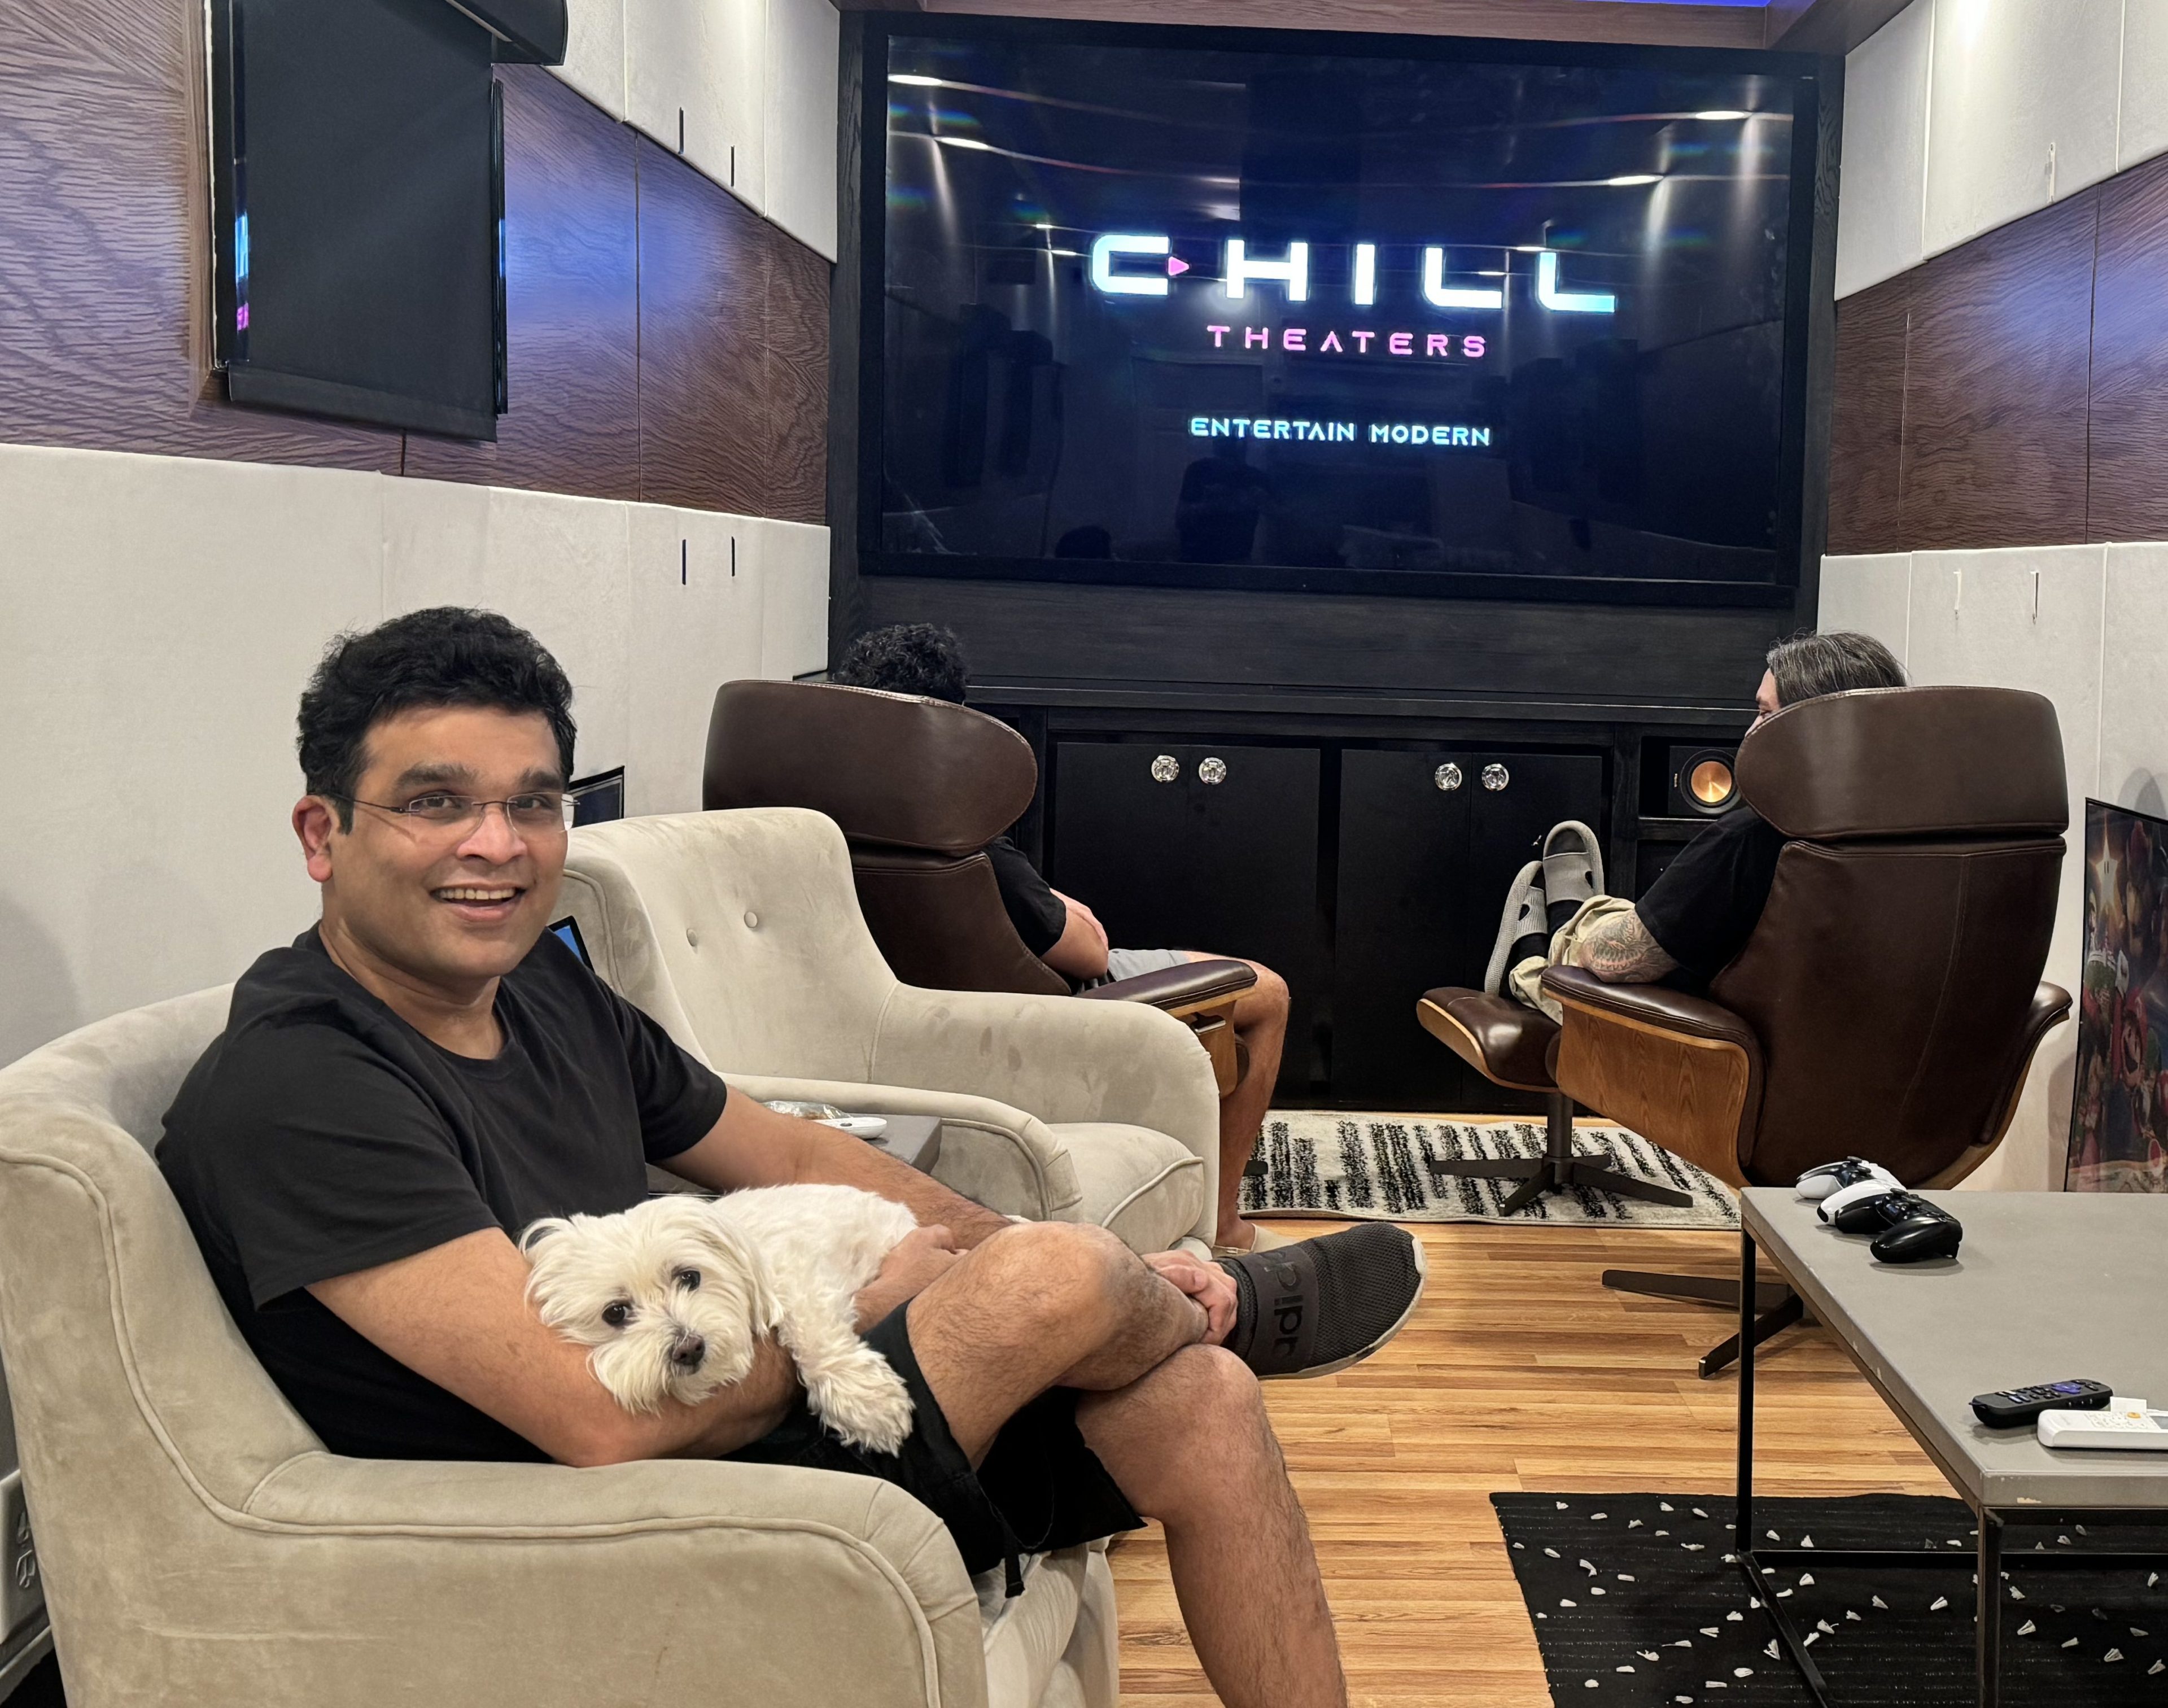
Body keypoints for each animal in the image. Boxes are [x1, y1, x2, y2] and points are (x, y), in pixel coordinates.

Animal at [528, 1187, 928, 1456]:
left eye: (689, 1277)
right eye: (615, 1313)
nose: (689, 1348)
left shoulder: (795, 1275)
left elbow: (817, 1331)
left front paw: (868, 1405)